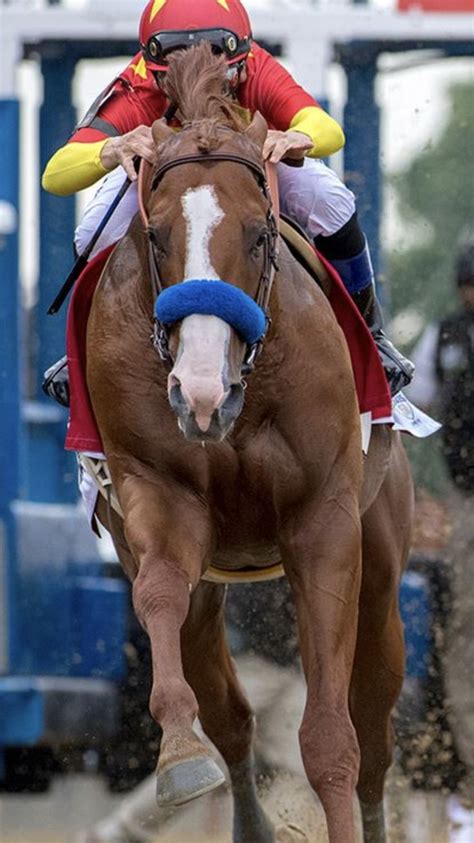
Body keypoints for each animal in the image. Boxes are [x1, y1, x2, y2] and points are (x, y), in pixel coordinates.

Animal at [87, 44, 412, 843]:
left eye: (261, 232)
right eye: (155, 236)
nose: (200, 391)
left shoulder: (325, 521)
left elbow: (332, 738)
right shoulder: (157, 497)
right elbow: (160, 592)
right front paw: (178, 754)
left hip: (383, 561)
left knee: (374, 729)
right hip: (210, 582)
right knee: (231, 714)